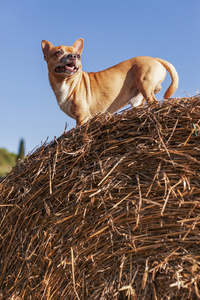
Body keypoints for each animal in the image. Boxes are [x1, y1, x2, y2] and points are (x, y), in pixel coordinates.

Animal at [41, 39, 179, 125]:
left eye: (78, 56)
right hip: (138, 99)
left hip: (144, 84)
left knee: (154, 102)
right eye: (58, 53)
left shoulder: (82, 117)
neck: (65, 82)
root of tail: (155, 59)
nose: (73, 56)